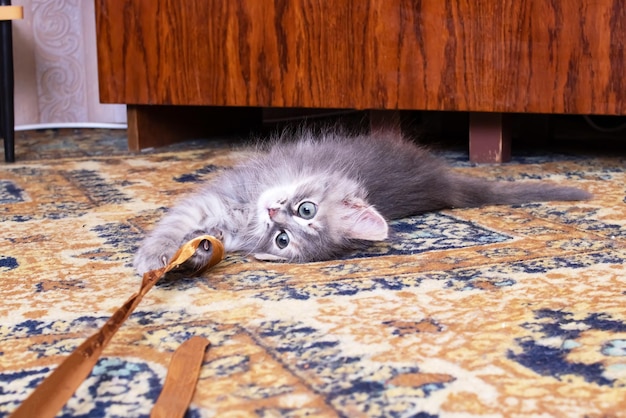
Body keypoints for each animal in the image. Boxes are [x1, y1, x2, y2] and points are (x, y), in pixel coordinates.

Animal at [132, 131, 588, 274]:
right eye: (306, 209)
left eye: (283, 240)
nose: (273, 212)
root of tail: (444, 182)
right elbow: (178, 226)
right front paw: (165, 255)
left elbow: (186, 230)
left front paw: (171, 257)